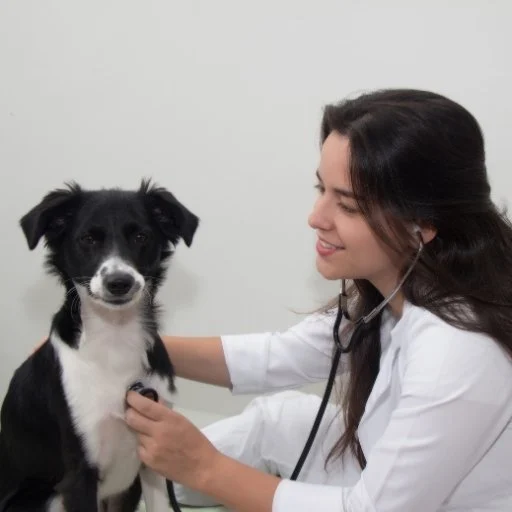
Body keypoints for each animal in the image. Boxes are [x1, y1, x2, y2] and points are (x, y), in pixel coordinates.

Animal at [0, 178, 199, 510]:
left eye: (141, 236)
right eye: (87, 239)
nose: (119, 283)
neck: (115, 338)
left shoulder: (155, 456)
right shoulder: (79, 474)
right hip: (46, 496)